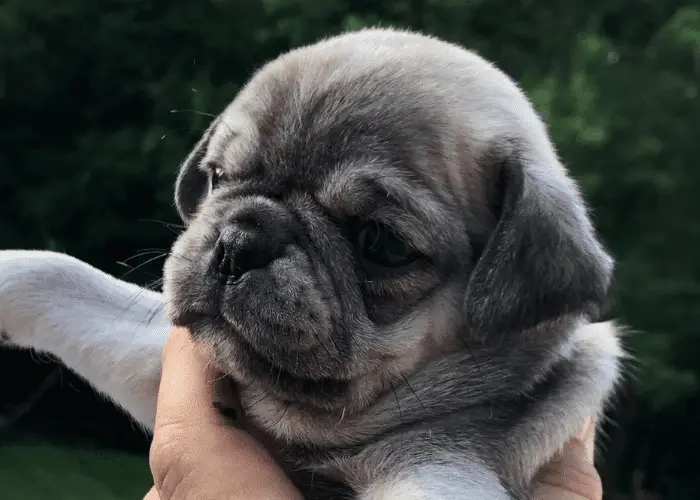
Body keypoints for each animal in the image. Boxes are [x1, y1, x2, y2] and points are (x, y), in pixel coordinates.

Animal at [0, 29, 624, 500]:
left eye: (382, 244)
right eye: (218, 178)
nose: (238, 242)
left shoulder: (447, 471)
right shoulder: (159, 359)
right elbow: (61, 277)